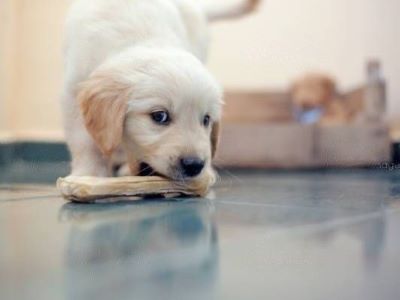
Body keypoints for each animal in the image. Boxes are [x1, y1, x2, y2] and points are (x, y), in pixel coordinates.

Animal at [60, 0, 260, 188]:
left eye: (206, 120)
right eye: (160, 116)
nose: (194, 165)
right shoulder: (74, 90)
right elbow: (84, 141)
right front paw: (89, 174)